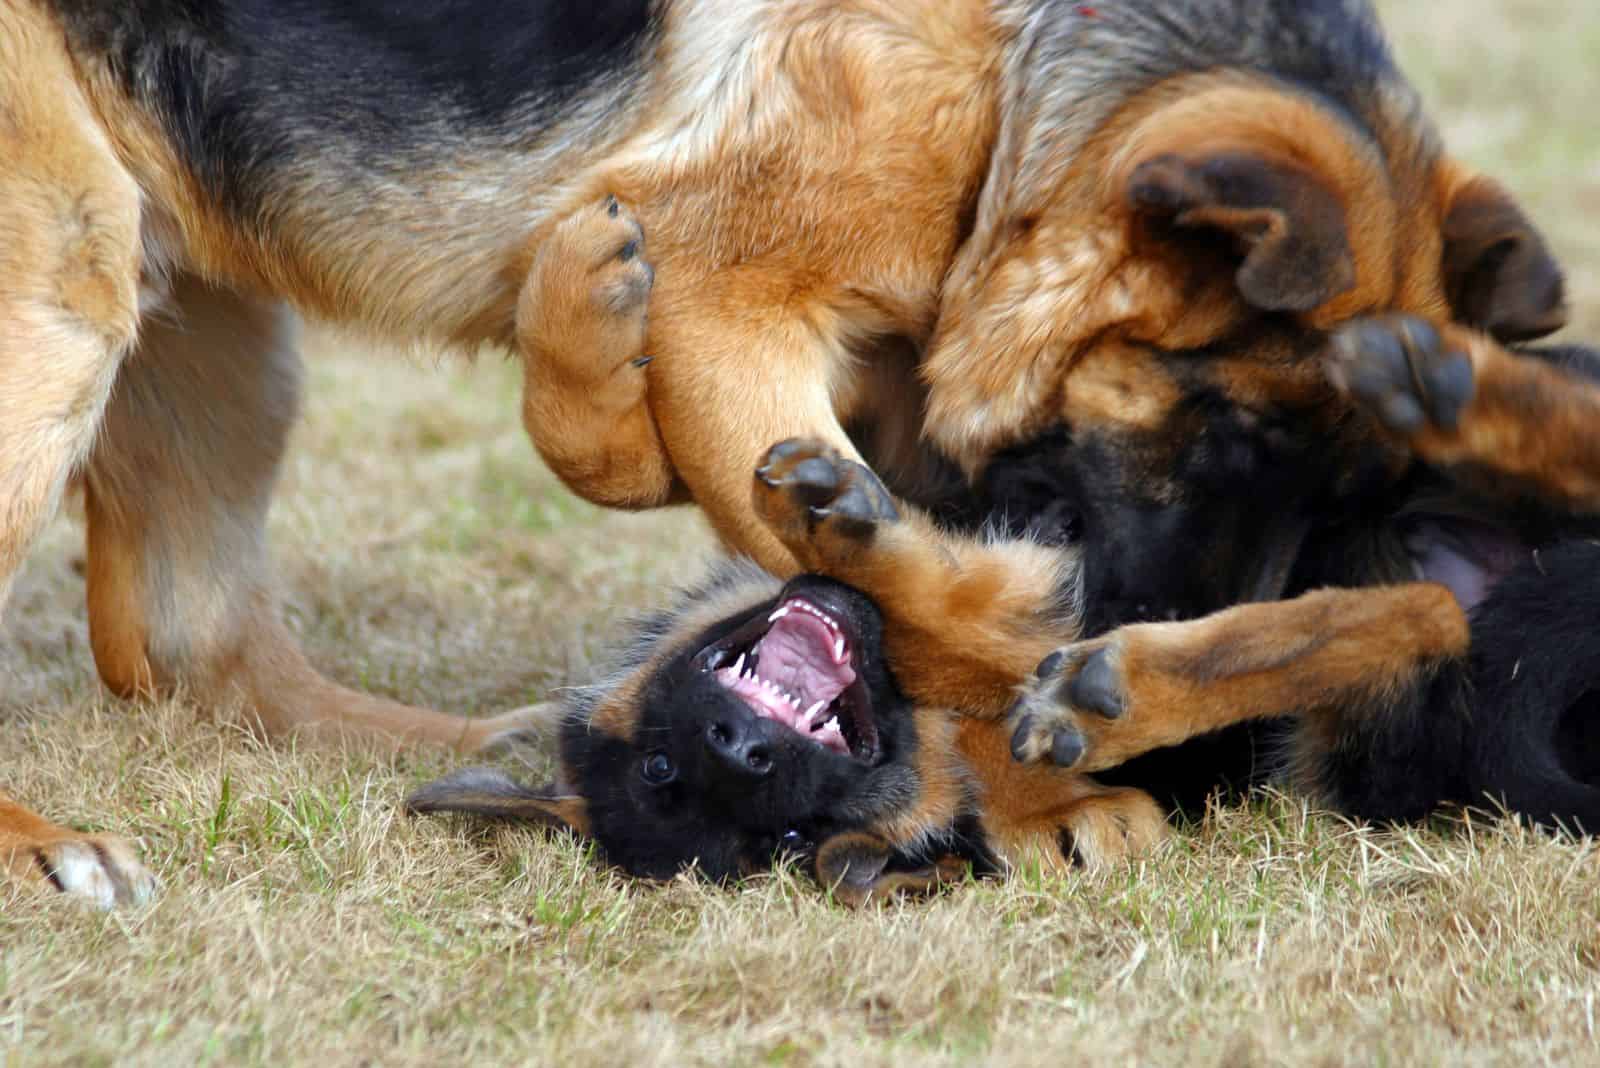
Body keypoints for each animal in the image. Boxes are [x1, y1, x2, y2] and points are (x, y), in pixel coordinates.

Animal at [0, 0, 1555, 901]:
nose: (1150, 626)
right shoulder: (723, 304)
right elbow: (913, 610)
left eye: (1343, 487)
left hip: (200, 307)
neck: (1020, 72)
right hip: (61, 282)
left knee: (174, 641)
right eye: (1224, 434)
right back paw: (41, 845)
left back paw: (467, 741)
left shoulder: (870, 372)